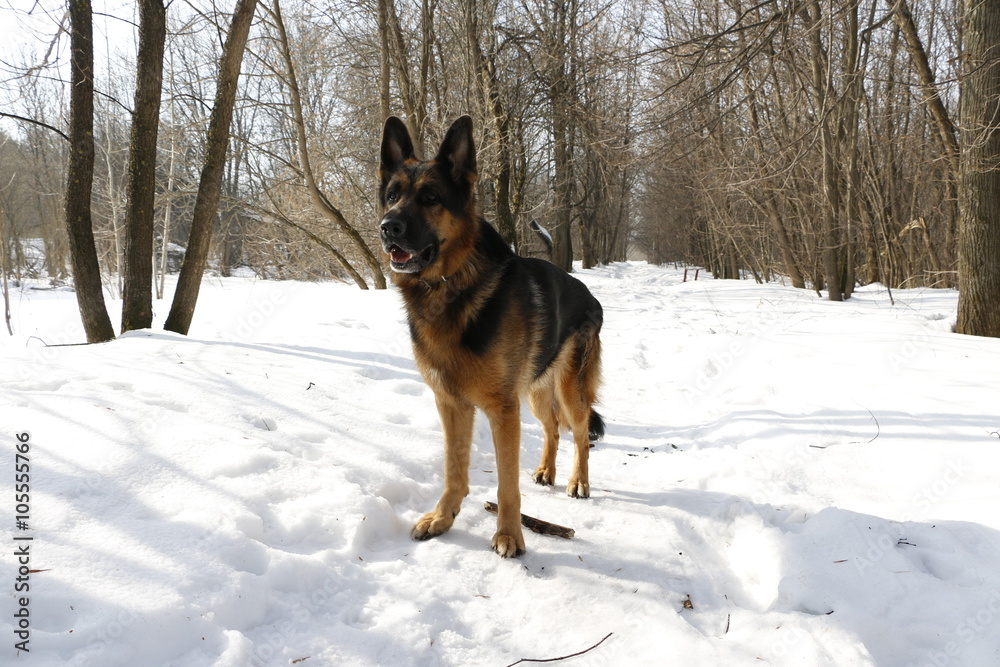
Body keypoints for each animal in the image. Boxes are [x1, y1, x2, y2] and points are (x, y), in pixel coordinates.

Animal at [378, 116, 604, 560]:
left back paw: (578, 482)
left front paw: (510, 535)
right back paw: (546, 470)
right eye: (392, 196)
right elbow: (454, 468)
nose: (387, 227)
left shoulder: (502, 410)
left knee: (580, 433)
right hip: (535, 394)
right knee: (553, 429)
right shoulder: (451, 404)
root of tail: (586, 291)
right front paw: (443, 517)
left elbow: (506, 484)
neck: (451, 285)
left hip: (568, 389)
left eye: (431, 197)